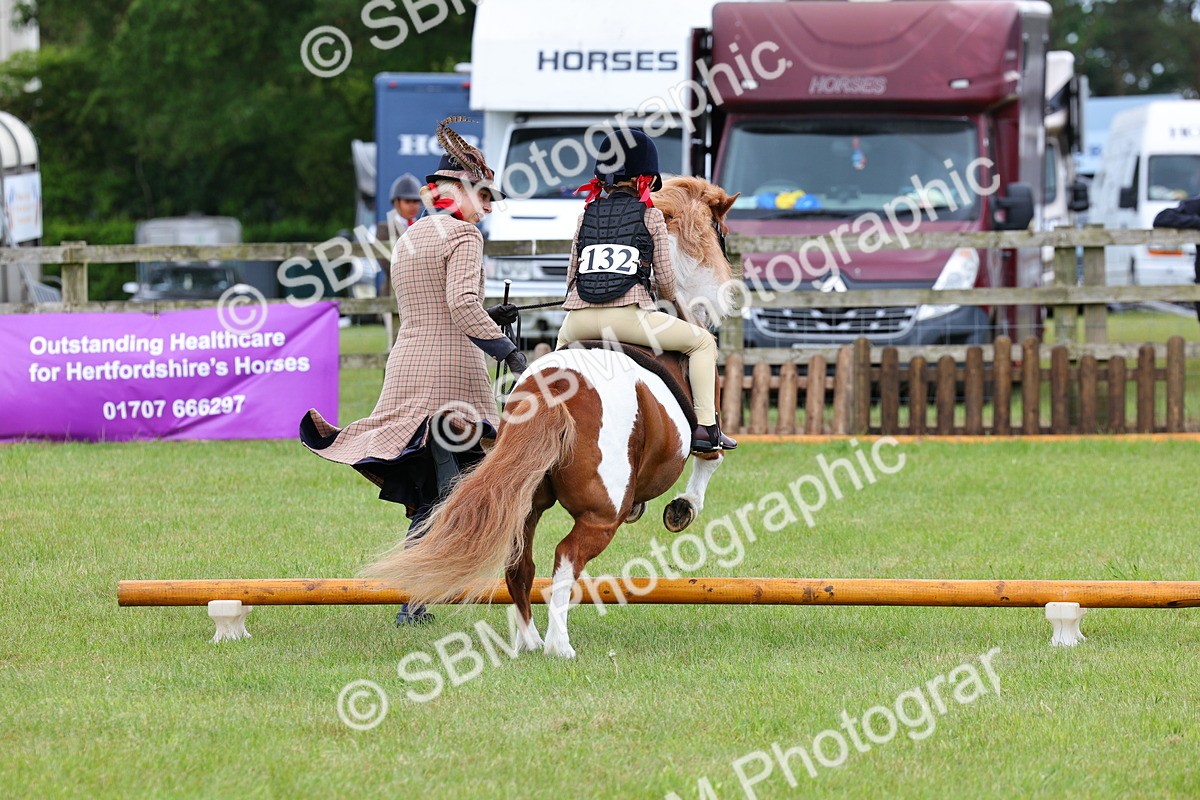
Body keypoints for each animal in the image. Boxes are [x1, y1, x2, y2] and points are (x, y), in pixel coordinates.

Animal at [365, 176, 741, 658]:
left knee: (520, 564)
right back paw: (558, 645)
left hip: (523, 503)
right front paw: (682, 509)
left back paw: (527, 640)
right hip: (601, 514)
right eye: (720, 232)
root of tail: (553, 396)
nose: (725, 297)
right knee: (565, 560)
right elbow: (711, 455)